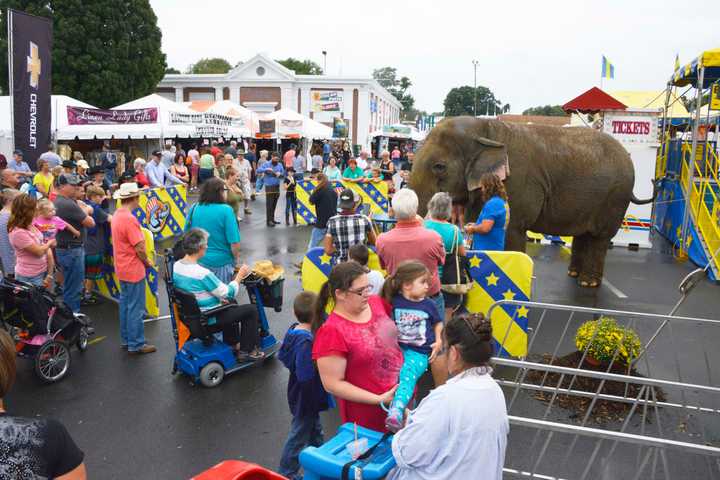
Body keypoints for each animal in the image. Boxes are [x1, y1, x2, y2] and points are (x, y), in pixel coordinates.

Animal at [408, 116, 656, 286]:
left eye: (439, 166)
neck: (486, 129)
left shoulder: (517, 183)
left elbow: (512, 230)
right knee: (584, 235)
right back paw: (574, 274)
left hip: (614, 198)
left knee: (599, 238)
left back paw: (587, 282)